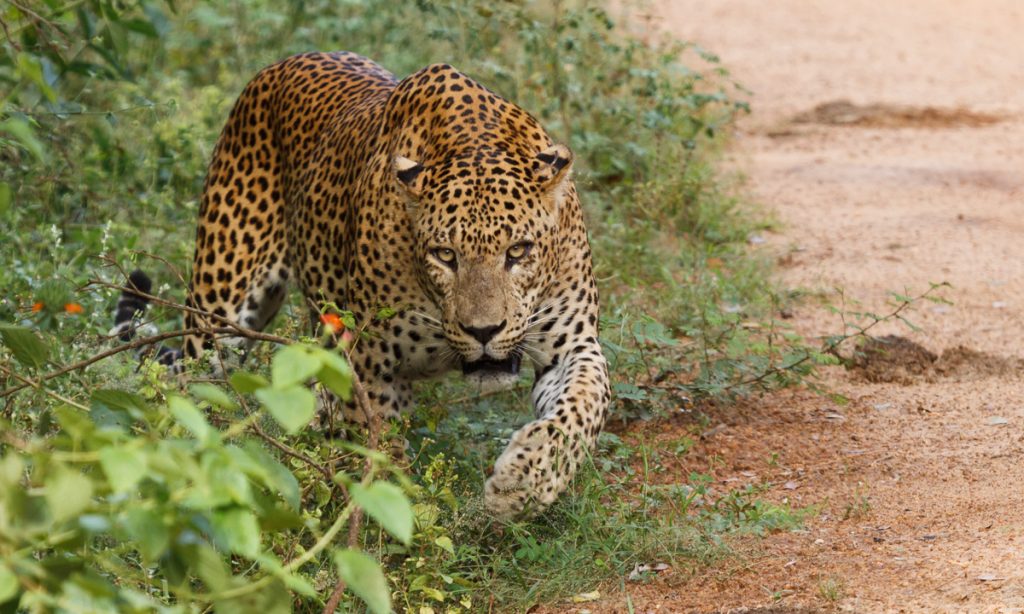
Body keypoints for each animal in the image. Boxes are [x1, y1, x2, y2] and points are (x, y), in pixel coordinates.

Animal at [123, 52, 610, 517]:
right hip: (218, 314)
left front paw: (524, 482)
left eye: (519, 251)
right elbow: (382, 458)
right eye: (445, 255)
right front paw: (402, 524)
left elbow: (584, 405)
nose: (484, 331)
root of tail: (277, 67)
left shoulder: (571, 345)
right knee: (193, 395)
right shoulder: (368, 363)